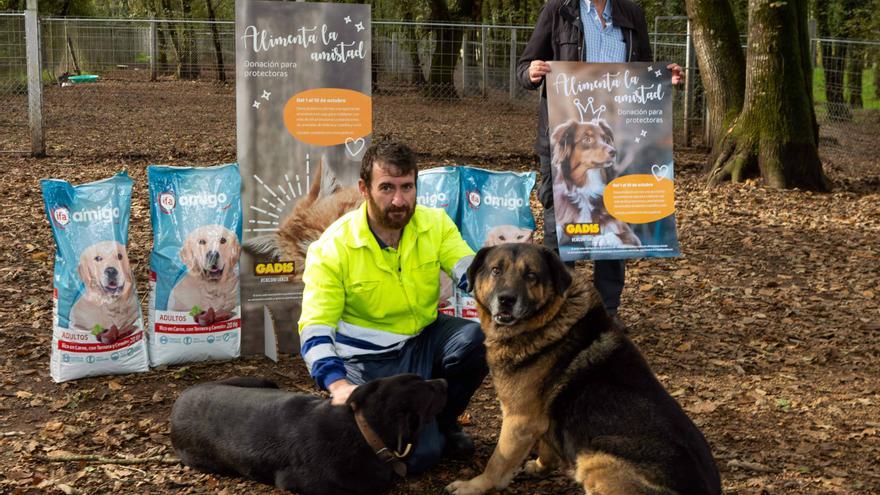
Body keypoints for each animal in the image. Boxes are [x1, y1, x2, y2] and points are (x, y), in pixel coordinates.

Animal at [446, 245, 720, 495]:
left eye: (531, 275)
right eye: (496, 270)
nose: (506, 299)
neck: (549, 319)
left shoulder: (519, 420)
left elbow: (497, 462)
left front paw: (474, 486)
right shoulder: (539, 421)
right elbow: (545, 445)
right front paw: (540, 466)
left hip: (594, 458)